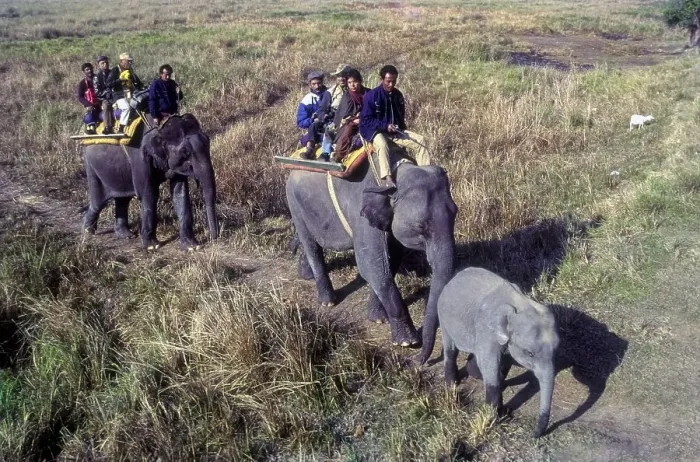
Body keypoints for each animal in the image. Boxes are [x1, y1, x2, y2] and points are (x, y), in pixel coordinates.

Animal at [82, 114, 218, 249]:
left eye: (208, 141)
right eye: (185, 152)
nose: (213, 238)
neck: (160, 127)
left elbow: (180, 193)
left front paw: (192, 247)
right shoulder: (140, 158)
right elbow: (149, 194)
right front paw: (152, 247)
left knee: (123, 199)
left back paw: (126, 235)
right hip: (92, 168)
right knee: (99, 201)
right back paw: (87, 231)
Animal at [286, 159, 457, 351]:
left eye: (455, 214)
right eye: (420, 226)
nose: (421, 356)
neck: (393, 177)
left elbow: (391, 261)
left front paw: (378, 319)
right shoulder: (361, 215)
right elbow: (371, 265)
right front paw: (407, 342)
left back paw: (306, 275)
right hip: (294, 203)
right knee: (311, 245)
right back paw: (328, 301)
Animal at [438, 267, 559, 438]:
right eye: (529, 353)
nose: (534, 435)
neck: (521, 305)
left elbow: (503, 361)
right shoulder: (486, 330)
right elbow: (490, 365)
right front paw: (493, 417)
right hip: (443, 316)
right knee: (451, 350)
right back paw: (452, 385)